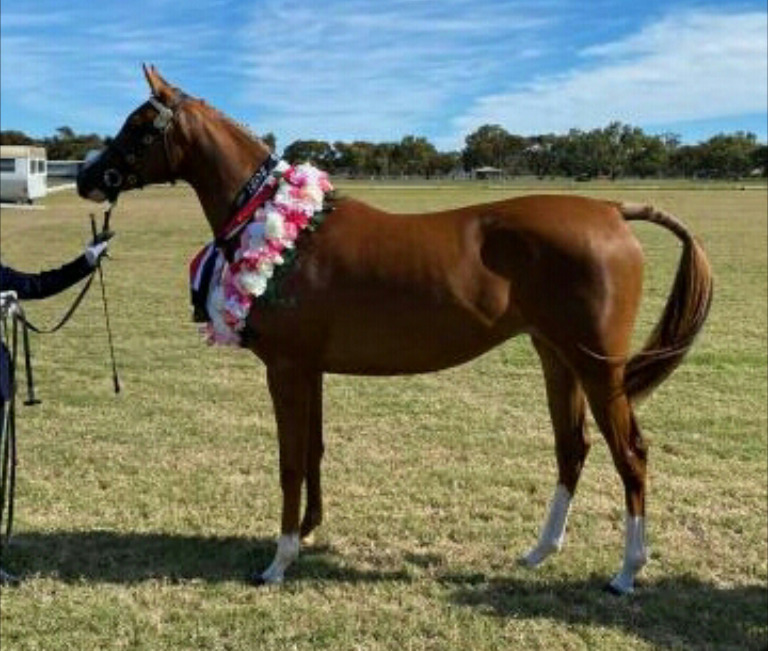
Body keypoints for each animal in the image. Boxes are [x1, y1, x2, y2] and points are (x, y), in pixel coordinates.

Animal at [76, 65, 713, 594]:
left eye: (139, 126)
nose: (85, 176)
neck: (286, 231)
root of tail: (609, 209)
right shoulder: (310, 370)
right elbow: (313, 451)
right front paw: (308, 533)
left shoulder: (286, 369)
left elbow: (289, 461)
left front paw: (278, 561)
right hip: (556, 356)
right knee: (572, 448)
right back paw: (539, 552)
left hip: (598, 366)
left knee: (630, 453)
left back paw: (626, 572)